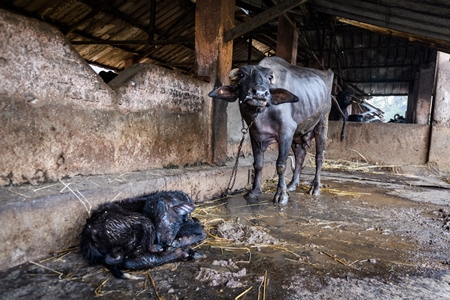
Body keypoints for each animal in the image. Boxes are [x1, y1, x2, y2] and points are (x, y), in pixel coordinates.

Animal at [209, 56, 332, 204]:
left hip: (322, 123)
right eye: (241, 75)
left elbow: (281, 165)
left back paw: (315, 187)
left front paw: (281, 195)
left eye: (269, 77)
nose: (260, 93)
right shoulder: (255, 134)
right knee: (300, 155)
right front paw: (254, 191)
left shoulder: (286, 131)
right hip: (297, 134)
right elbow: (258, 164)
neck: (262, 114)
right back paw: (292, 184)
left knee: (320, 156)